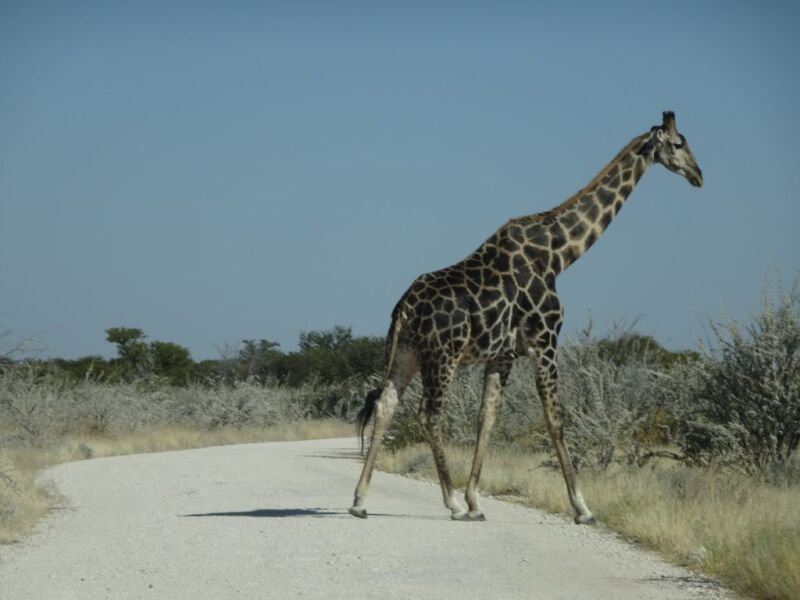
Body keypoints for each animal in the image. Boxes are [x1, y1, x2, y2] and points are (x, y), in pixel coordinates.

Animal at [348, 111, 702, 524]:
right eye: (678, 144)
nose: (698, 174)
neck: (559, 254)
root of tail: (404, 307)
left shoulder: (502, 355)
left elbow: (487, 418)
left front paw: (476, 502)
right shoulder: (545, 341)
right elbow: (555, 419)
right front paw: (582, 507)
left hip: (406, 352)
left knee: (386, 404)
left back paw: (360, 500)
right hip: (442, 355)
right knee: (429, 414)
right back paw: (449, 503)